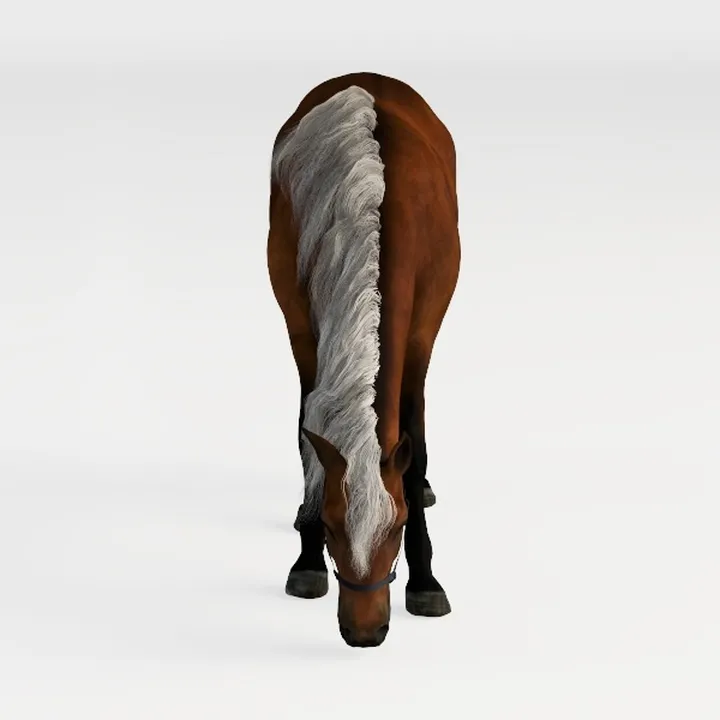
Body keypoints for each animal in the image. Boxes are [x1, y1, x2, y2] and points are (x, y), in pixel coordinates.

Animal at [267, 72, 460, 647]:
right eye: (332, 527)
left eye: (395, 528)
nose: (365, 632)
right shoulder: (302, 330)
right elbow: (307, 436)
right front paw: (306, 559)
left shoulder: (420, 338)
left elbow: (413, 445)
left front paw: (426, 579)